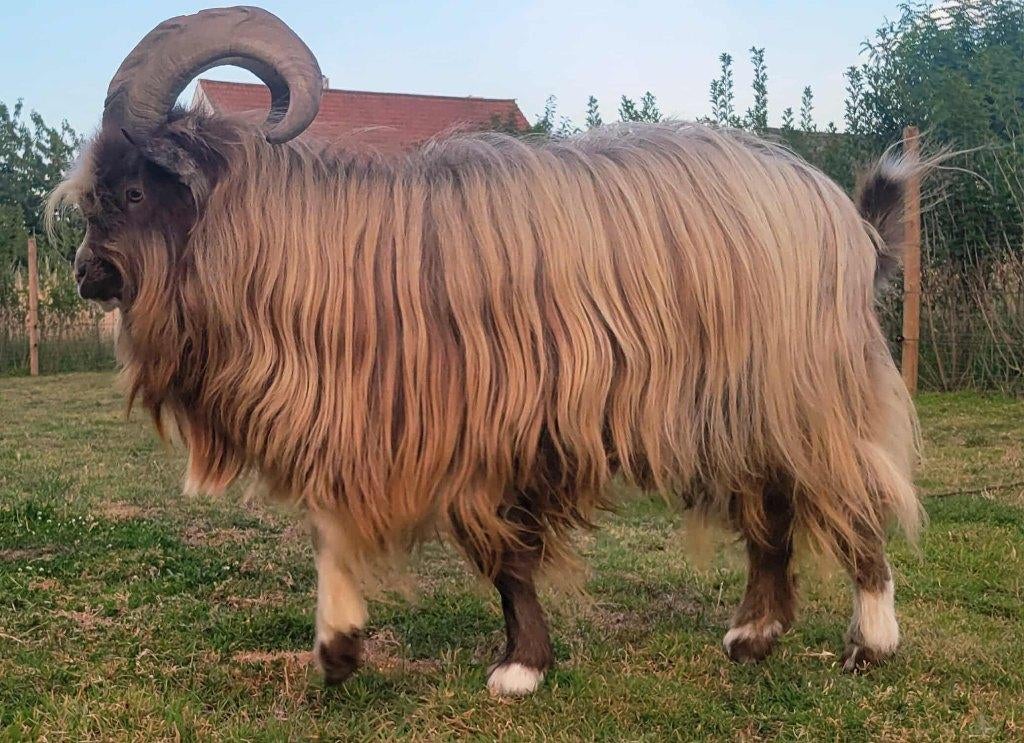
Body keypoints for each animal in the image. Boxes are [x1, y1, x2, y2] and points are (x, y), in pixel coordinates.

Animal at [53, 6, 923, 695]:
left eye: (132, 191)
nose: (86, 273)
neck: (315, 249)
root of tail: (845, 217)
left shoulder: (489, 429)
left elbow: (507, 555)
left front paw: (519, 666)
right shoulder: (371, 422)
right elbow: (332, 527)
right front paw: (338, 647)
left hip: (799, 388)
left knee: (851, 491)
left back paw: (872, 641)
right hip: (733, 410)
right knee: (772, 506)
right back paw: (754, 635)